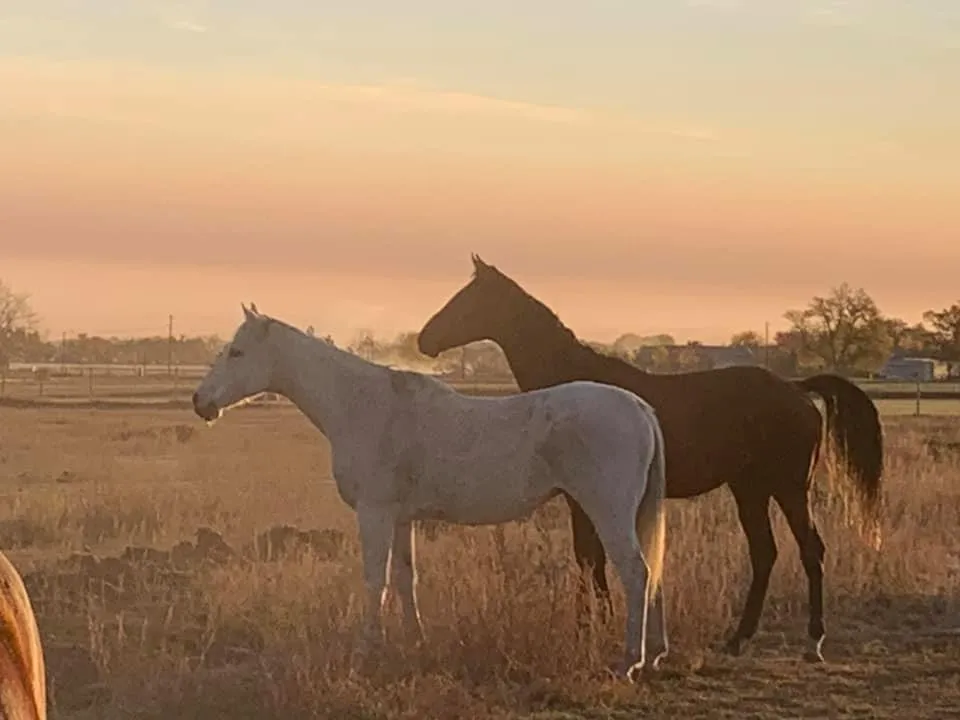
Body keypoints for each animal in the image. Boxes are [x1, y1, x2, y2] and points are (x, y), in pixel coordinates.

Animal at [191, 303, 670, 681]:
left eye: (236, 352)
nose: (200, 402)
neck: (365, 406)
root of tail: (640, 408)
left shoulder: (375, 513)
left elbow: (376, 579)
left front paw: (368, 649)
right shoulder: (402, 518)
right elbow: (406, 579)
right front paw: (415, 642)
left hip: (608, 512)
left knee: (637, 572)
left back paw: (630, 661)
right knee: (653, 574)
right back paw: (655, 655)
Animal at [417, 254, 885, 662]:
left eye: (468, 298)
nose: (424, 340)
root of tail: (797, 390)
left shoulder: (583, 498)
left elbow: (590, 557)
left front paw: (592, 627)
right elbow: (591, 556)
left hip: (788, 489)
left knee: (810, 550)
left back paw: (813, 642)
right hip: (749, 489)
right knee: (765, 553)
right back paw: (738, 639)